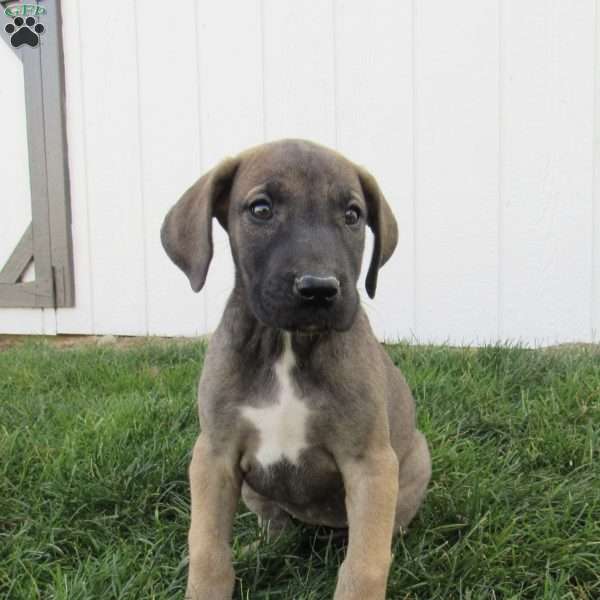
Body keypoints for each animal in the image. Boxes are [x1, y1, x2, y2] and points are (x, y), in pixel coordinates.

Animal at [159, 139, 432, 600]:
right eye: (261, 209)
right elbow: (208, 550)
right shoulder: (213, 456)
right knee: (275, 528)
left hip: (413, 465)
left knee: (385, 534)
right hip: (253, 491)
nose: (319, 289)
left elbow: (365, 565)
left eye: (353, 215)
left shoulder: (371, 464)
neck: (286, 345)